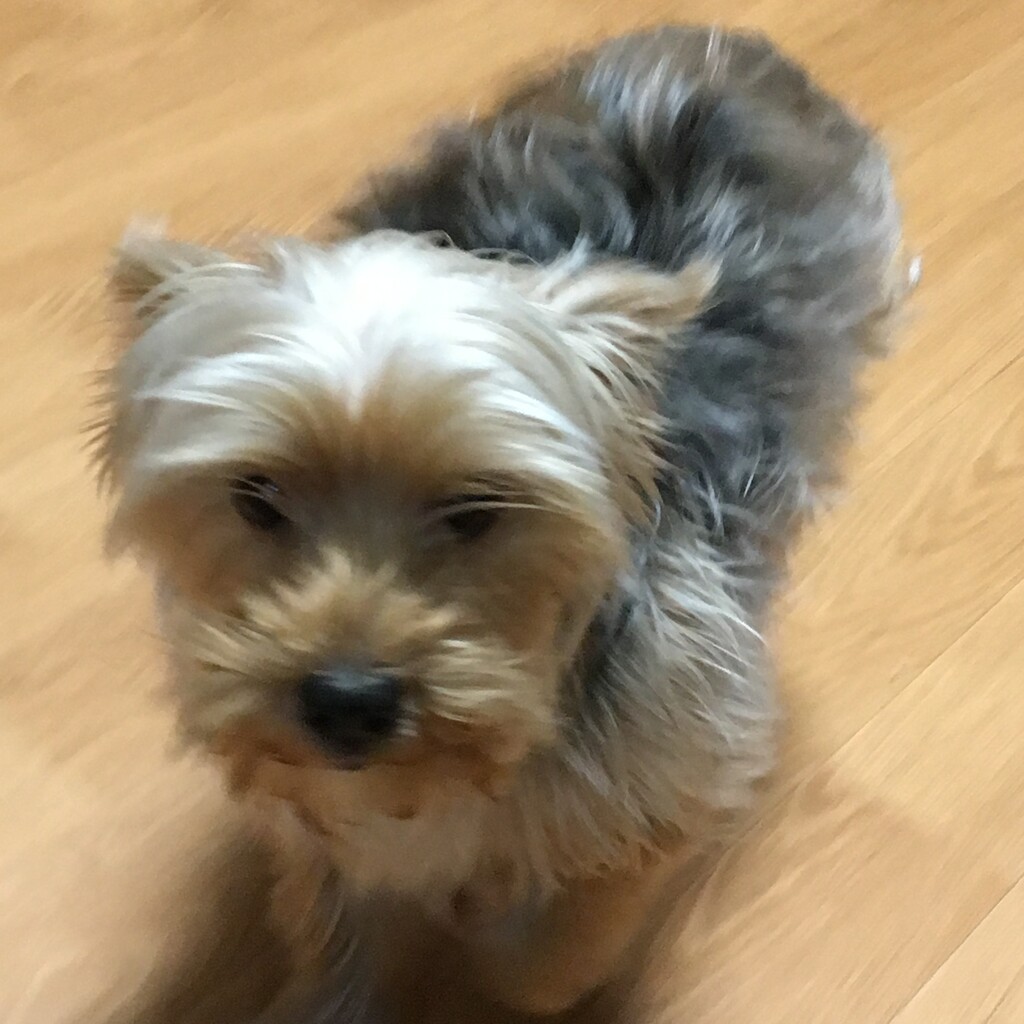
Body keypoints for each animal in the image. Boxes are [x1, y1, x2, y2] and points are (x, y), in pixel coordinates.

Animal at [94, 25, 910, 1022]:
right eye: (257, 498)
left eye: (477, 511)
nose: (346, 701)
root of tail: (709, 42)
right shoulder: (291, 774)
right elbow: (322, 906)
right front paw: (326, 991)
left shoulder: (671, 771)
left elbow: (556, 954)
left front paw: (498, 937)